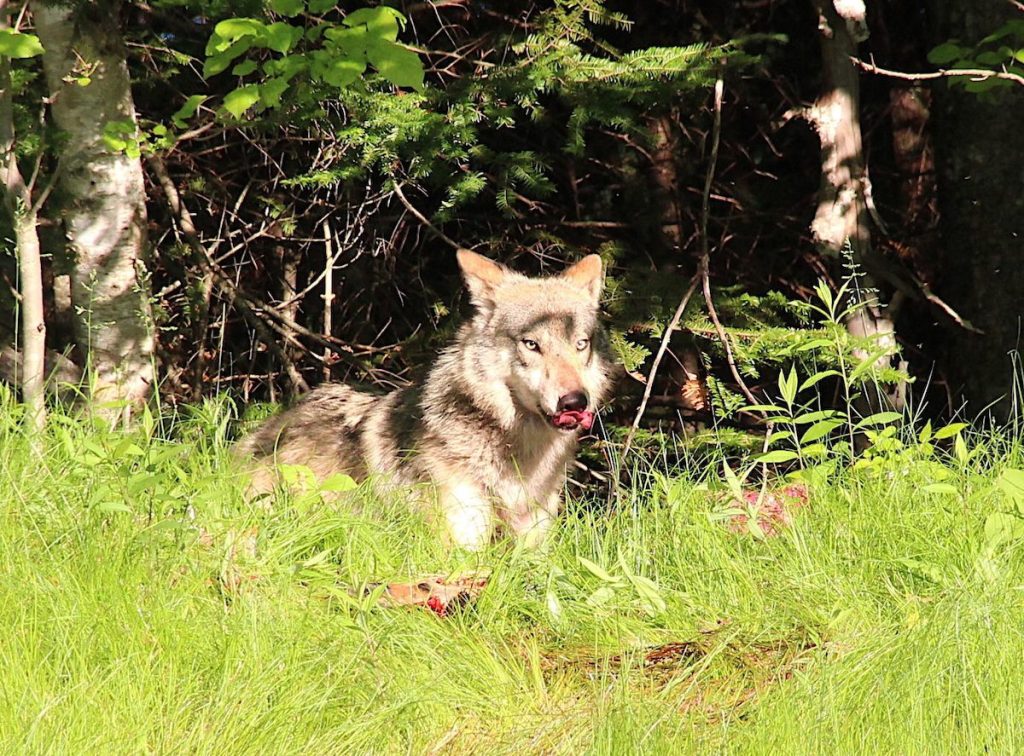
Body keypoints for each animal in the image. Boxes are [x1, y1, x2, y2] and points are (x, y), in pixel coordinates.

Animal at [235, 250, 614, 550]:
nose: (574, 401)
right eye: (531, 344)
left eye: (580, 344)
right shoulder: (458, 548)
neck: (517, 453)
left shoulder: (535, 543)